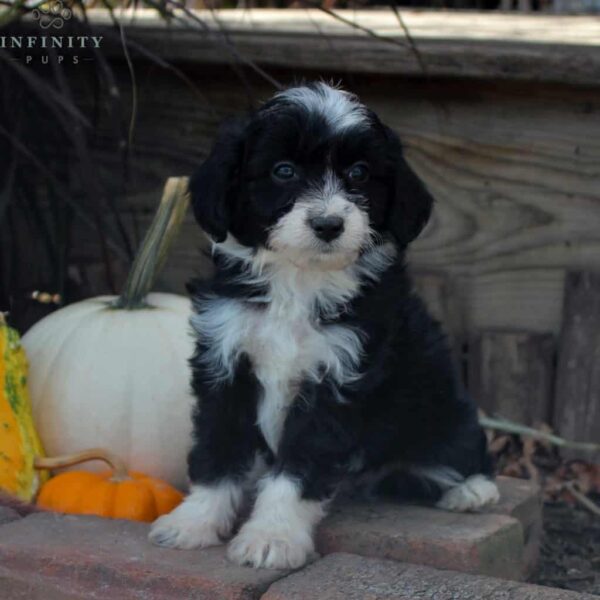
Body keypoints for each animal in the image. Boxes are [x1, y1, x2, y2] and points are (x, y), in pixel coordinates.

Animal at [149, 82, 496, 568]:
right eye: (284, 171)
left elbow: (300, 466)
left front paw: (272, 537)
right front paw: (194, 522)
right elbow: (219, 447)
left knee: (460, 446)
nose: (329, 224)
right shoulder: (225, 360)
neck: (300, 281)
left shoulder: (340, 376)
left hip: (439, 403)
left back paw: (471, 490)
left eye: (359, 173)